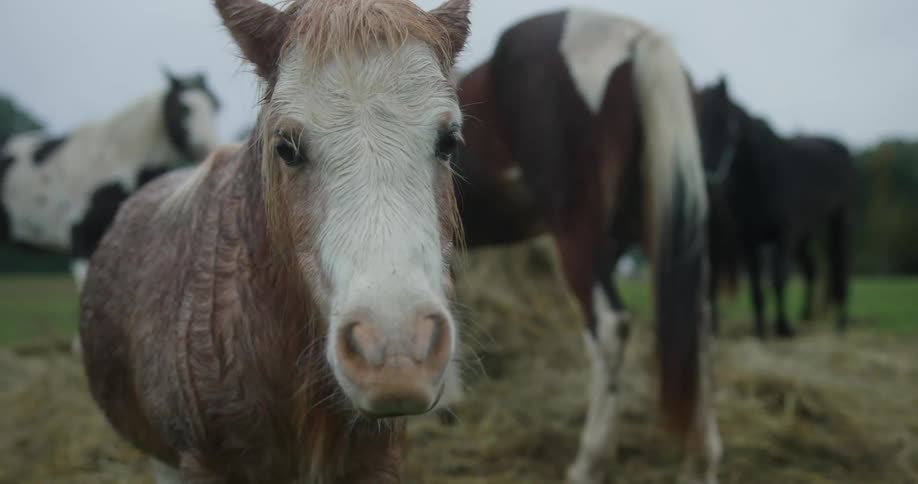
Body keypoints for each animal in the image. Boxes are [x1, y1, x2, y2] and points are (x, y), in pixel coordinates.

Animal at [452, 9, 720, 484]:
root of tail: (634, 39)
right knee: (699, 325)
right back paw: (700, 463)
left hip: (578, 230)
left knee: (610, 327)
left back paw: (589, 462)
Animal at [697, 78, 858, 338]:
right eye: (699, 119)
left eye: (721, 118)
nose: (705, 171)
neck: (760, 177)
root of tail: (841, 148)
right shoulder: (748, 240)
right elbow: (756, 286)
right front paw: (760, 330)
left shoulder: (783, 235)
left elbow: (778, 280)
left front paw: (783, 327)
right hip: (804, 235)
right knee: (812, 269)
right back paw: (805, 316)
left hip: (840, 222)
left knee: (840, 266)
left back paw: (840, 322)